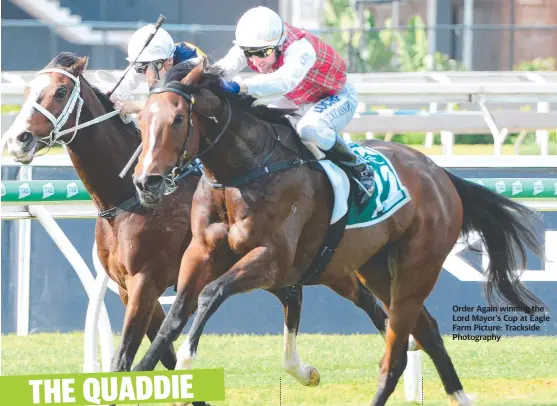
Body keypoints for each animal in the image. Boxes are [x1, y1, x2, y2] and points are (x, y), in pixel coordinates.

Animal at [3, 52, 390, 388]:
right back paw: (307, 369)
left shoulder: (146, 281)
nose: (19, 139)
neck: (129, 198)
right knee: (322, 300)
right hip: (317, 267)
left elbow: (126, 358)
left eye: (60, 91)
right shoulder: (131, 288)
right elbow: (165, 353)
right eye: (28, 89)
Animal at [131, 58, 544, 406]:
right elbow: (173, 317)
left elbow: (212, 293)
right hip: (377, 270)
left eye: (178, 119)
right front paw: (139, 375)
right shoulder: (200, 252)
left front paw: (189, 357)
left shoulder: (273, 260)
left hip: (417, 269)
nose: (146, 181)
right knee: (426, 331)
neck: (248, 170)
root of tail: (439, 174)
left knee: (395, 355)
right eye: (142, 119)